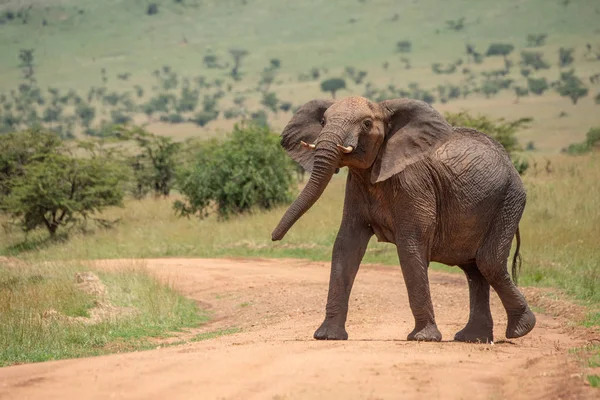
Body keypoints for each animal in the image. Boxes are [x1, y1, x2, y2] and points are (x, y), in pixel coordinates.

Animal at [270, 95, 536, 342]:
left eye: (367, 123)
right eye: (323, 121)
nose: (274, 238)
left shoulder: (414, 184)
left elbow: (409, 247)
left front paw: (423, 338)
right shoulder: (356, 186)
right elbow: (346, 246)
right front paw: (327, 336)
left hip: (509, 201)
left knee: (488, 262)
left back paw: (521, 330)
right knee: (474, 269)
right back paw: (473, 338)